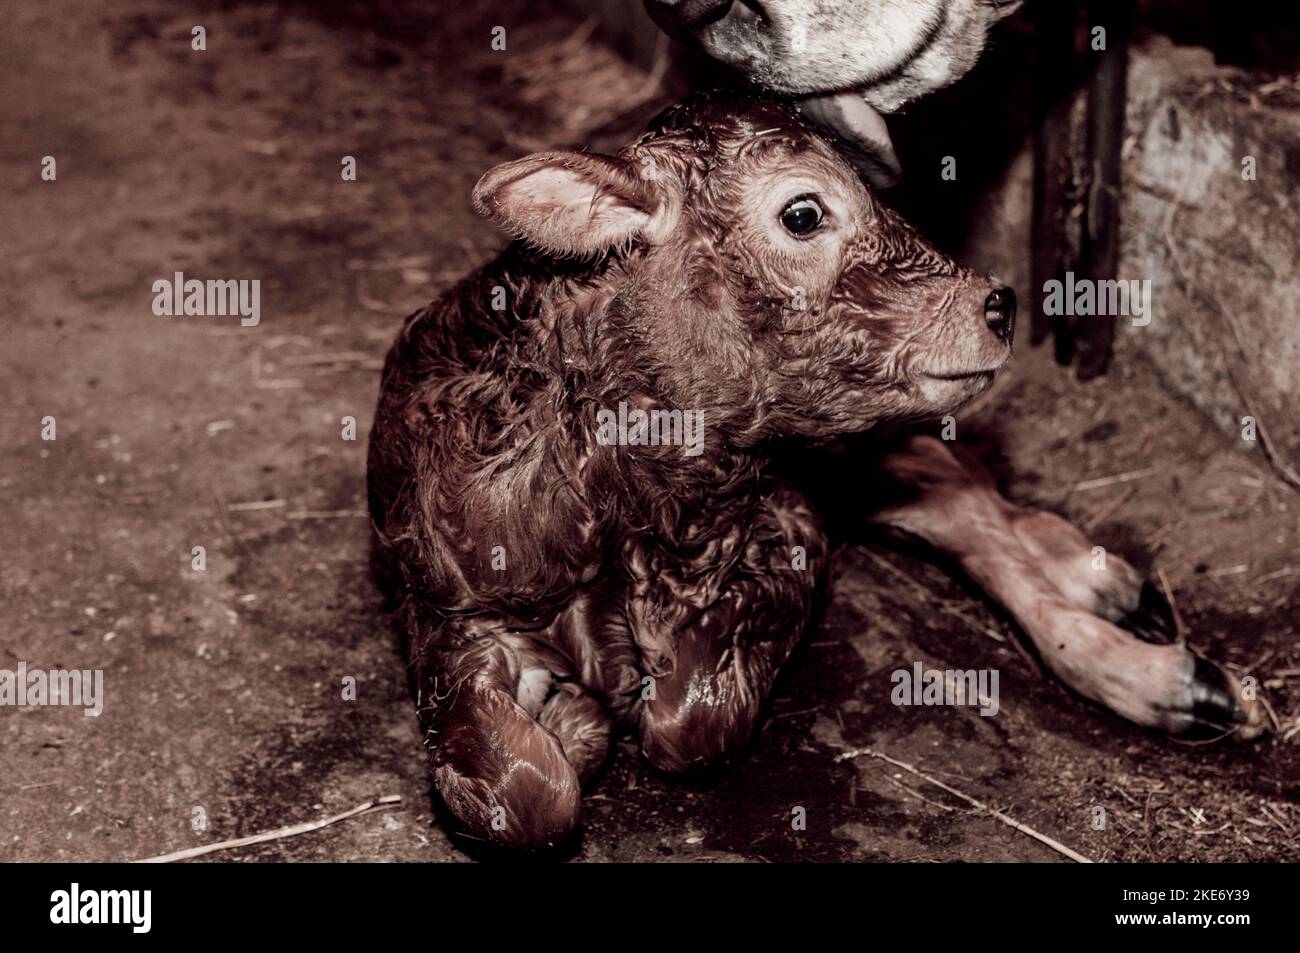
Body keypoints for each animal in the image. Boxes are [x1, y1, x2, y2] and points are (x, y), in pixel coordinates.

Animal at [366, 89, 1258, 847]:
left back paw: (1131, 634)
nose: (999, 304)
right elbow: (524, 794)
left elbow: (690, 719)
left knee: (953, 483)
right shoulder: (446, 612)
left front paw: (605, 709)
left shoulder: (790, 521)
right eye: (803, 212)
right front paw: (569, 719)